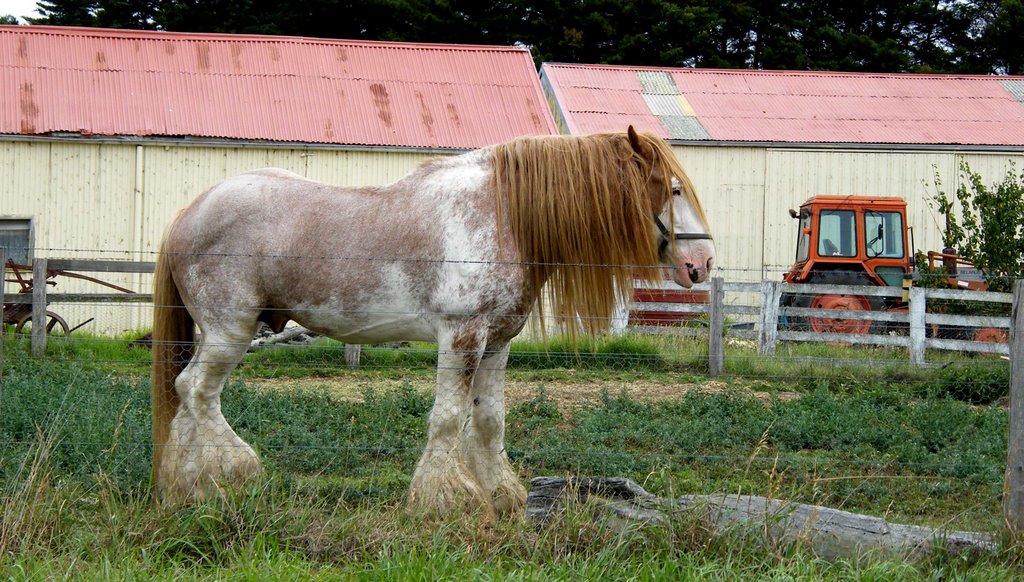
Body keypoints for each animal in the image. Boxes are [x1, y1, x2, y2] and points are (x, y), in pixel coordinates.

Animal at [151, 125, 716, 516]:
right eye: (673, 189)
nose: (703, 263)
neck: (504, 215)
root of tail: (187, 213)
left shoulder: (497, 342)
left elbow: (488, 421)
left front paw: (501, 493)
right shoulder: (461, 336)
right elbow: (446, 418)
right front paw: (443, 499)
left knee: (184, 394)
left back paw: (187, 487)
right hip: (231, 331)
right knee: (199, 392)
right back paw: (239, 470)